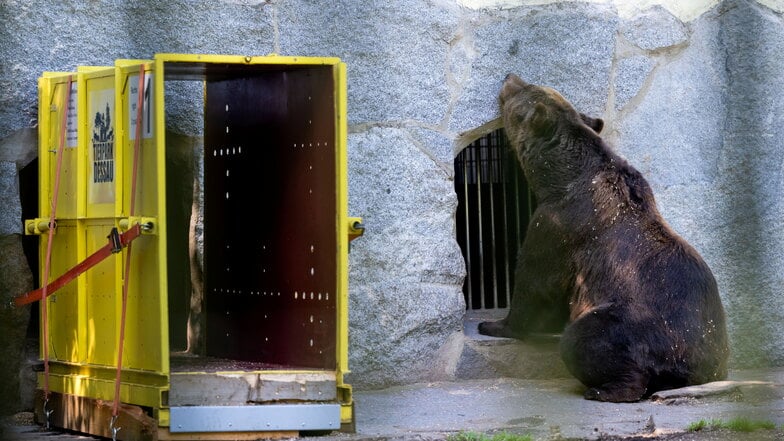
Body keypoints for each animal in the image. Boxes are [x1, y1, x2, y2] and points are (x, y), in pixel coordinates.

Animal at [478, 75, 728, 402]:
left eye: (525, 90)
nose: (510, 78)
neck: (560, 178)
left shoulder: (559, 225)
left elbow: (535, 282)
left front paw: (494, 324)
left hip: (638, 326)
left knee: (584, 339)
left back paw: (604, 389)